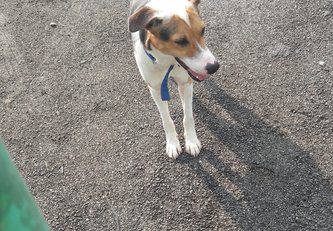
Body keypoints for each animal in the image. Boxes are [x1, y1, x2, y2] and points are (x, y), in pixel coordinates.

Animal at [127, 0, 218, 159]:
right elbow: (166, 119)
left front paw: (191, 141)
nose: (214, 67)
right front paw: (172, 143)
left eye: (203, 30)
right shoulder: (156, 89)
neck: (168, 60)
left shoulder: (186, 82)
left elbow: (188, 116)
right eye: (180, 41)